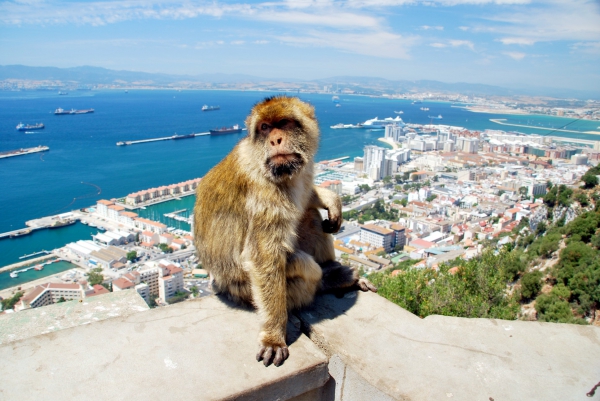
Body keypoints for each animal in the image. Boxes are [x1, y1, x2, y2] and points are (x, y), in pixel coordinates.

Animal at [195, 95, 376, 368]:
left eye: (284, 123)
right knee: (302, 266)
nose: (275, 140)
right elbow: (264, 259)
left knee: (310, 217)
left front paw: (330, 199)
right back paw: (328, 280)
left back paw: (335, 271)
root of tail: (219, 285)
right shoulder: (263, 194)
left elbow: (306, 198)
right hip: (249, 292)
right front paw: (273, 336)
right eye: (264, 128)